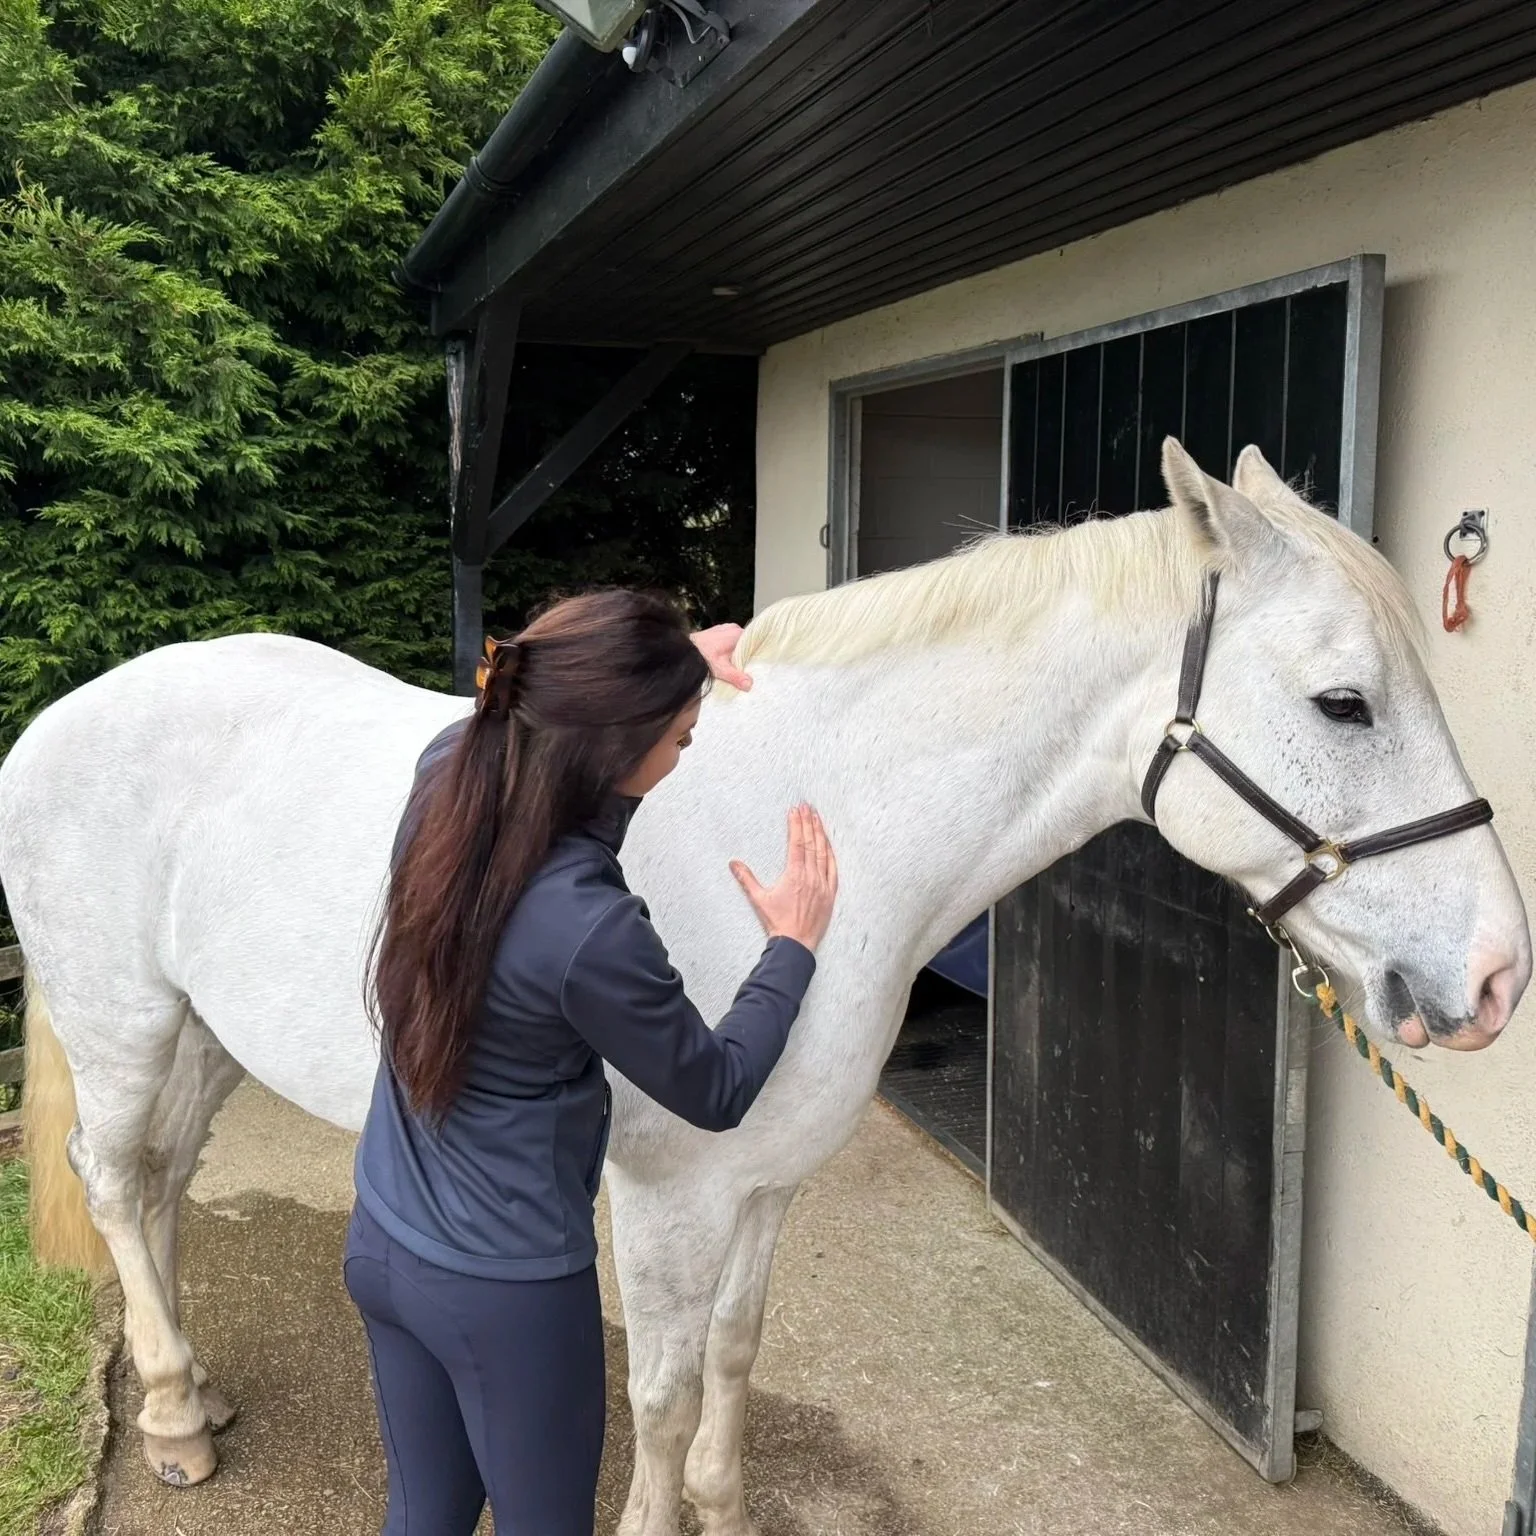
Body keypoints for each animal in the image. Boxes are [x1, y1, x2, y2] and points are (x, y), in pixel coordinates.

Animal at [5, 439, 1528, 1534]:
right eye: (1344, 703)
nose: (1497, 977)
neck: (819, 817)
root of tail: (63, 716)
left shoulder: (769, 1178)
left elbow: (736, 1352)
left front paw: (727, 1512)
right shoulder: (669, 1192)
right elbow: (666, 1388)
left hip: (204, 1034)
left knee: (163, 1183)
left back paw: (194, 1389)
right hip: (127, 1025)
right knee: (120, 1181)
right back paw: (173, 1420)